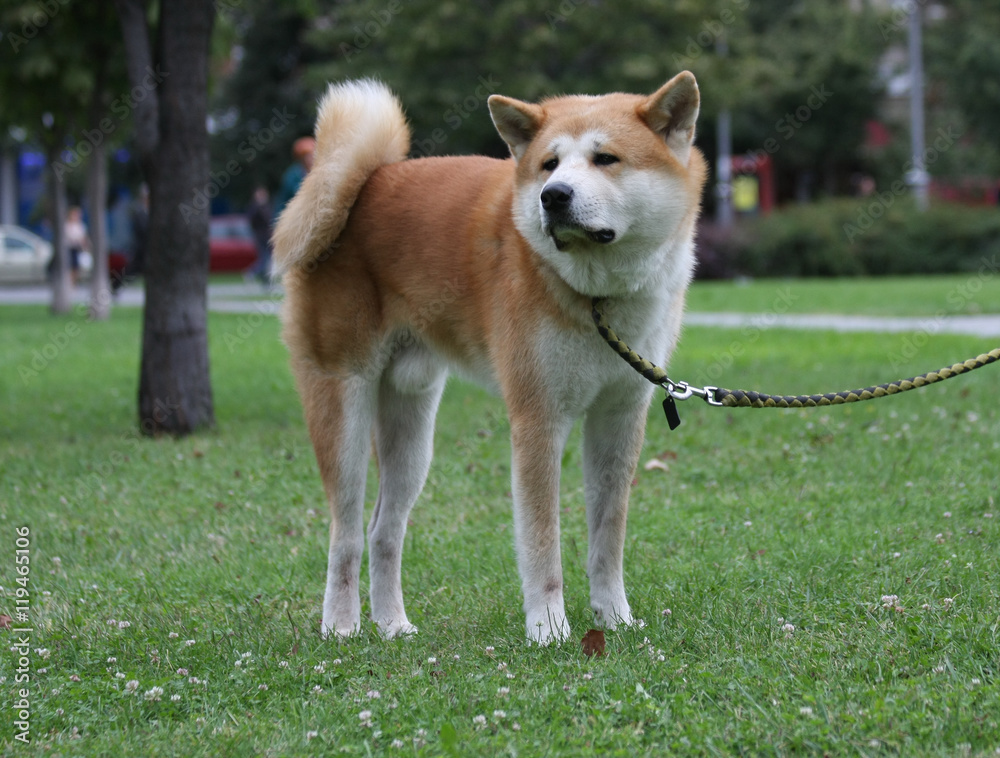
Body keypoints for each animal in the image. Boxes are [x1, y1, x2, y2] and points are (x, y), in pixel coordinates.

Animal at [272, 72, 704, 648]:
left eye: (606, 159)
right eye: (549, 164)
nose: (553, 196)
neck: (598, 298)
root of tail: (367, 180)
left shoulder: (619, 418)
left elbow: (607, 538)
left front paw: (614, 618)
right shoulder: (537, 421)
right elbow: (542, 545)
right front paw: (549, 629)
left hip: (412, 432)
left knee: (384, 530)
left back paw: (392, 625)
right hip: (345, 413)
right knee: (345, 534)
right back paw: (341, 625)